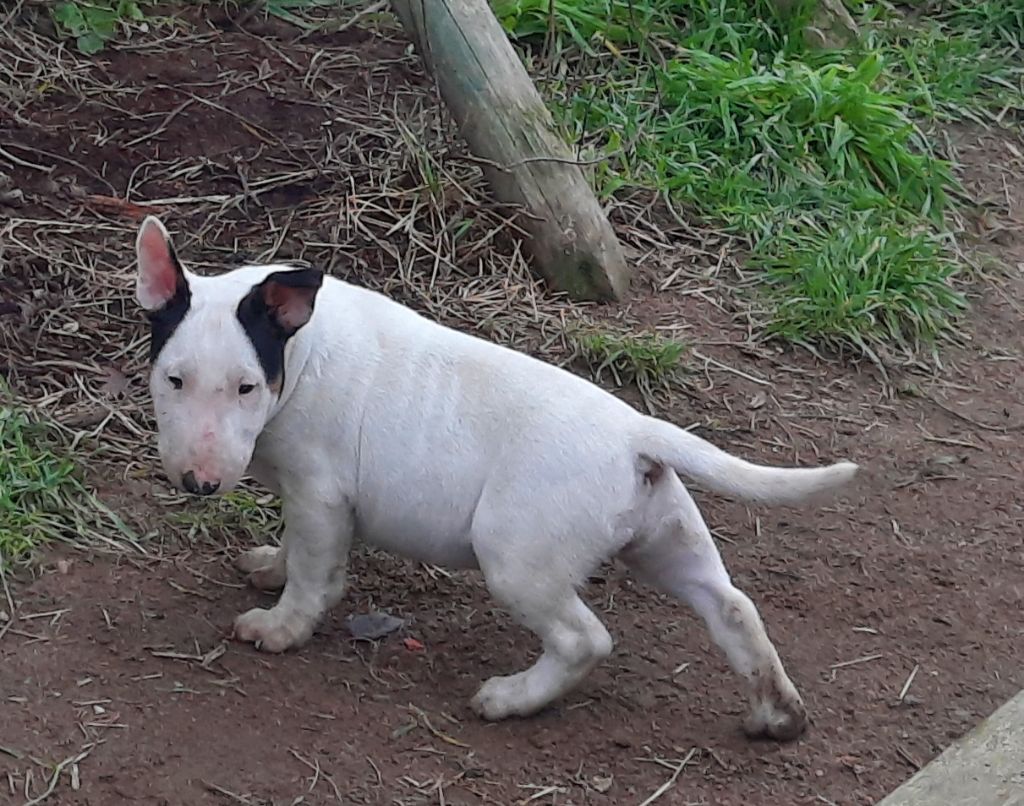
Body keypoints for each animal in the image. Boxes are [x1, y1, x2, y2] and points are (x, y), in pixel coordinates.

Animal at [134, 216, 856, 745]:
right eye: (173, 379)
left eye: (246, 387)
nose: (199, 484)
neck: (300, 350)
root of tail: (635, 433)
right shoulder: (303, 497)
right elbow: (292, 548)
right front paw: (268, 565)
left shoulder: (321, 495)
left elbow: (316, 574)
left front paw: (279, 627)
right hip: (666, 535)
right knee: (731, 606)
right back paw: (777, 714)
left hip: (519, 556)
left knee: (584, 638)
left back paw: (510, 698)